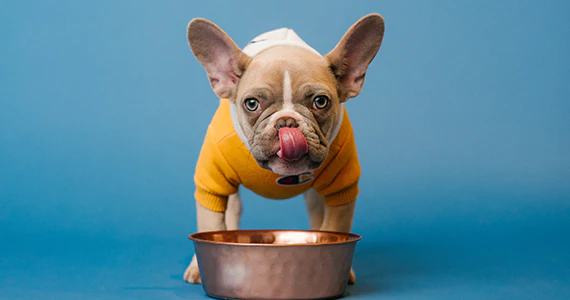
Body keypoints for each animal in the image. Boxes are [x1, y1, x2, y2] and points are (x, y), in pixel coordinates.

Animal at [184, 14, 384, 284]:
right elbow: (210, 223)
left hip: (315, 197)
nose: (286, 122)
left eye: (321, 102)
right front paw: (198, 267)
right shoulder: (212, 185)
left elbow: (335, 225)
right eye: (251, 104)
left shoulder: (342, 189)